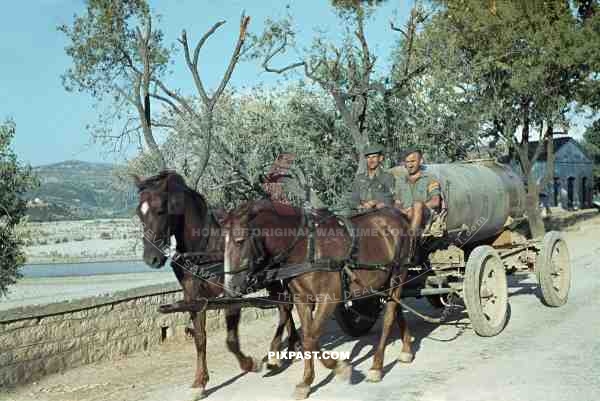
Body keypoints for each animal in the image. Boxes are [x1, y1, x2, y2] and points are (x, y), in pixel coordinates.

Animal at [132, 170, 298, 398]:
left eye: (160, 210)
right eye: (139, 213)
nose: (151, 258)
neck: (204, 246)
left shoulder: (231, 294)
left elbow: (231, 340)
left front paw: (250, 364)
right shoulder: (194, 298)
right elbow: (200, 338)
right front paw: (199, 382)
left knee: (285, 305)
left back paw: (277, 353)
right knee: (286, 304)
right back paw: (292, 343)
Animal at [223, 198, 414, 398]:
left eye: (239, 241)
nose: (231, 287)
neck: (307, 247)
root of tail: (398, 215)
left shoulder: (328, 299)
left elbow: (312, 337)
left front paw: (339, 368)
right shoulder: (302, 300)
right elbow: (309, 336)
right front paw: (306, 381)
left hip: (398, 275)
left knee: (389, 316)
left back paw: (377, 366)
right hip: (384, 282)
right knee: (397, 309)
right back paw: (406, 349)